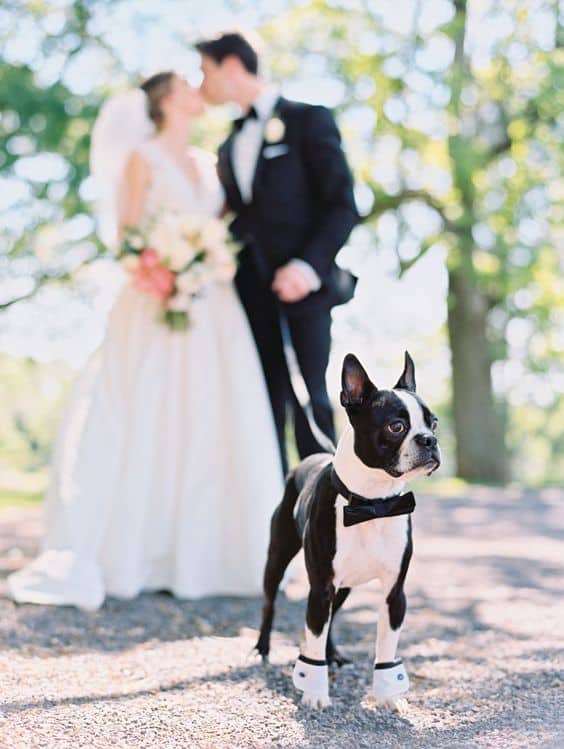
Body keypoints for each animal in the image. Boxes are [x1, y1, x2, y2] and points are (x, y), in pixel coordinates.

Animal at [254, 350, 440, 708]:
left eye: (433, 422)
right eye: (396, 426)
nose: (430, 440)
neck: (371, 502)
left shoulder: (394, 594)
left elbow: (385, 649)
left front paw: (388, 697)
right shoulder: (320, 588)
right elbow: (312, 639)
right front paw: (314, 694)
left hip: (343, 588)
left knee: (332, 619)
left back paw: (334, 653)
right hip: (277, 559)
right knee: (270, 603)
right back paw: (262, 648)